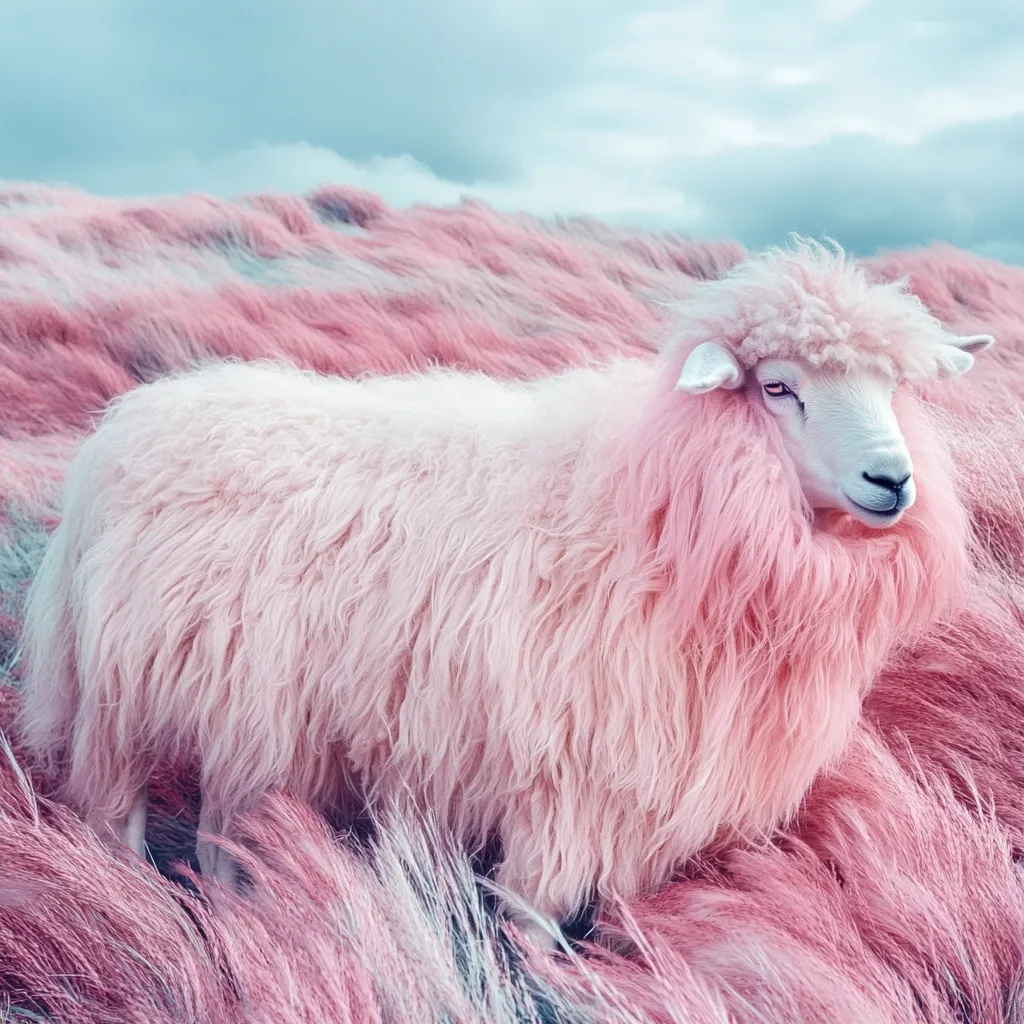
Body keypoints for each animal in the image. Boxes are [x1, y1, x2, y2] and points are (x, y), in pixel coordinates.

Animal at [16, 239, 993, 946]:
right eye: (780, 387)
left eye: (894, 388)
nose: (893, 481)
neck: (660, 502)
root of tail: (118, 432)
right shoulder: (565, 781)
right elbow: (533, 921)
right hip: (123, 692)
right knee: (117, 813)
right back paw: (132, 898)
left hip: (244, 705)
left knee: (225, 828)